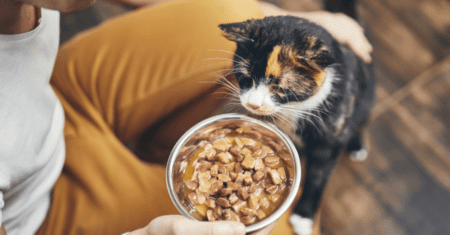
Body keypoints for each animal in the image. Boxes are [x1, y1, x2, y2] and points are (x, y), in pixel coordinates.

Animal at [219, 15, 376, 234]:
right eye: (246, 77)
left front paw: (304, 217)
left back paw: (356, 145)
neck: (292, 109)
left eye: (279, 88)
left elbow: (318, 176)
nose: (253, 104)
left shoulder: (328, 138)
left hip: (365, 98)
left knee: (360, 121)